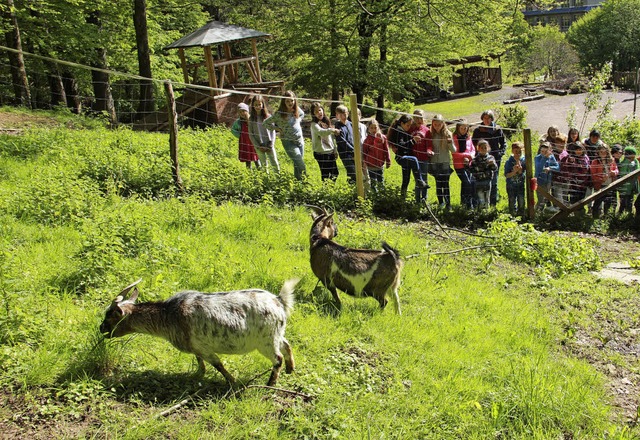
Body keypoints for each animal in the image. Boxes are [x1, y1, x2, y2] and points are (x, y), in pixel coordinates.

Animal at [100, 278, 300, 384]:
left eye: (110, 316)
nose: (101, 328)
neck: (170, 316)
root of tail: (278, 301)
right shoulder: (196, 347)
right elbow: (199, 361)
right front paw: (198, 374)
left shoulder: (205, 348)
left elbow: (218, 365)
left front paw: (233, 382)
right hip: (276, 334)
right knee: (286, 345)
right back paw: (290, 369)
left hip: (265, 341)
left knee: (277, 358)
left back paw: (271, 383)